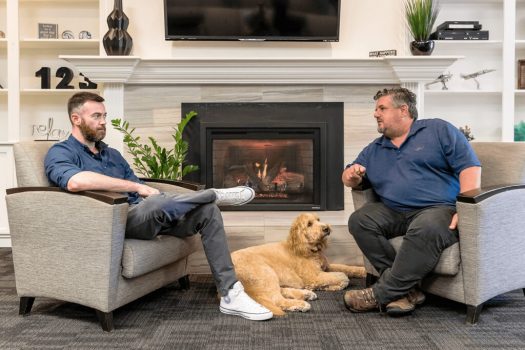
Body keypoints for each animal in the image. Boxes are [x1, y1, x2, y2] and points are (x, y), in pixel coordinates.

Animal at [230, 212, 364, 316]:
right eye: (309, 224)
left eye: (318, 220)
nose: (326, 228)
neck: (310, 249)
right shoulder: (313, 277)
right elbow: (342, 276)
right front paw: (334, 286)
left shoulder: (326, 267)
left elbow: (345, 268)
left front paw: (362, 270)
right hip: (266, 273)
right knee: (276, 299)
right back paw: (301, 303)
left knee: (280, 291)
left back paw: (305, 294)